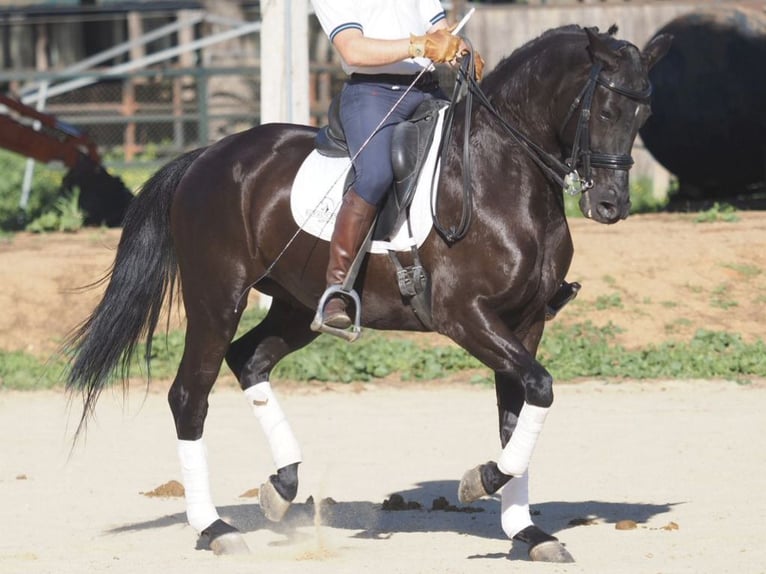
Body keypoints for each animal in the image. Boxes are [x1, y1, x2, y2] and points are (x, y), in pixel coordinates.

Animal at [69, 25, 676, 564]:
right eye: (604, 111)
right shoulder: (466, 317)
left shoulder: (525, 323)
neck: (502, 173)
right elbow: (541, 390)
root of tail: (206, 157)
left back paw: (281, 487)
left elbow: (520, 409)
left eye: (643, 116)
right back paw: (215, 528)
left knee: (250, 360)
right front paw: (480, 483)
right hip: (217, 299)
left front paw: (526, 532)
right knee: (190, 396)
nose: (611, 205)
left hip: (297, 306)